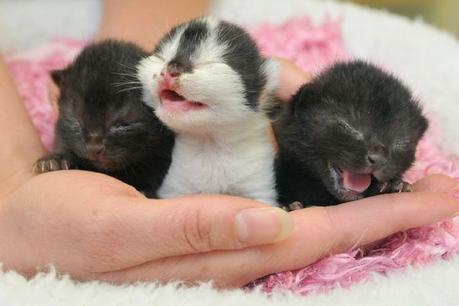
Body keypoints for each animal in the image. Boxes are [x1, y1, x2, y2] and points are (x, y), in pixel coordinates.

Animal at [137, 15, 280, 204]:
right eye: (162, 58)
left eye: (208, 64)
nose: (170, 70)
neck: (211, 146)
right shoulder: (175, 188)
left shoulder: (258, 188)